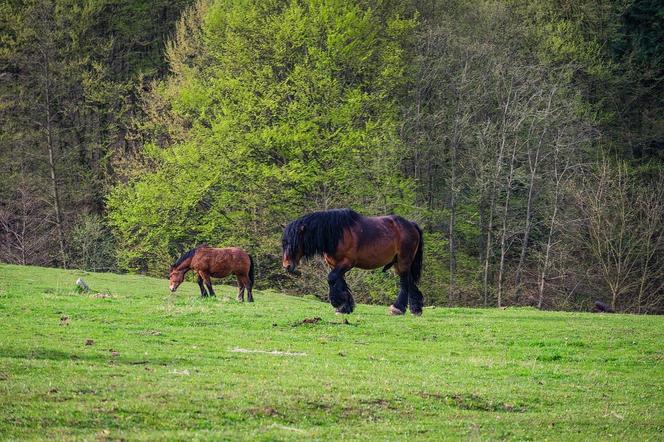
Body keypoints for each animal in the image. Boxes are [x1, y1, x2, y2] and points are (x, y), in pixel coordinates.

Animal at [282, 209, 426, 316]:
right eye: (284, 243)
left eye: (294, 243)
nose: (286, 265)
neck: (337, 234)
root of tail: (411, 225)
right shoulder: (335, 265)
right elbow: (339, 282)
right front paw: (345, 307)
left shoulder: (347, 263)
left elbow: (331, 279)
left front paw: (338, 303)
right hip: (398, 263)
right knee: (409, 282)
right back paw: (416, 309)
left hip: (403, 261)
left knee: (404, 282)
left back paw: (397, 308)